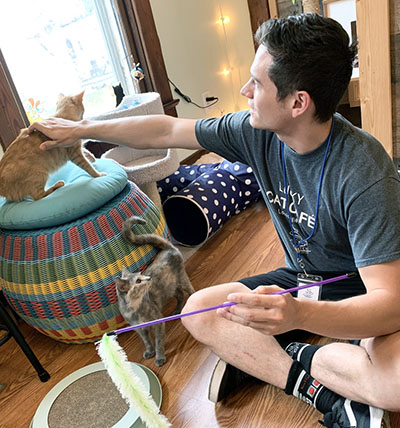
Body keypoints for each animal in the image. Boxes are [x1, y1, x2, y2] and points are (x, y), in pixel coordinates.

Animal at [115, 216, 195, 366]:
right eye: (138, 281)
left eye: (141, 274)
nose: (149, 278)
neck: (135, 309)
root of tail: (168, 248)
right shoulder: (139, 329)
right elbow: (147, 341)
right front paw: (149, 352)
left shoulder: (158, 322)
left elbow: (158, 342)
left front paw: (159, 358)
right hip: (169, 287)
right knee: (180, 295)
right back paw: (177, 311)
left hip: (181, 278)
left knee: (190, 291)